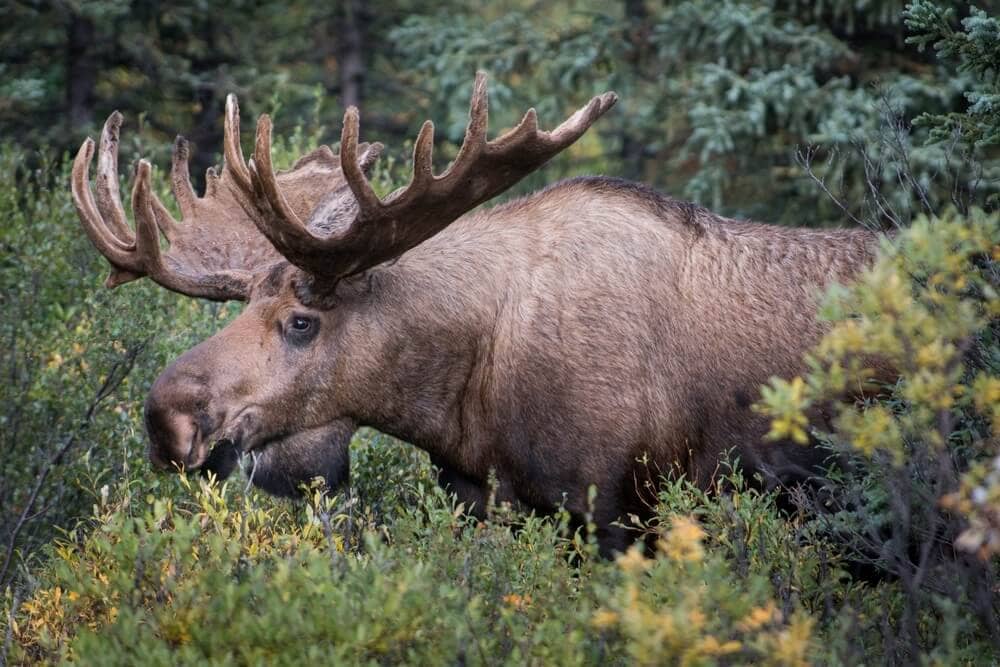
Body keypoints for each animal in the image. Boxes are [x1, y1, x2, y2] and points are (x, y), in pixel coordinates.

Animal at [70, 73, 880, 554]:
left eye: (302, 321)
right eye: (240, 306)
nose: (167, 420)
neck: (462, 404)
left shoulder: (620, 513)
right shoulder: (481, 502)